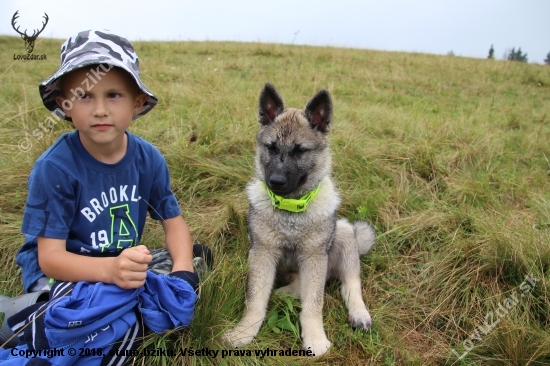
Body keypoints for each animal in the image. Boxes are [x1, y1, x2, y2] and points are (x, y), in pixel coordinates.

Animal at [222, 83, 378, 358]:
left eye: (300, 151)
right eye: (271, 147)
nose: (275, 181)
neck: (290, 209)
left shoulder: (314, 256)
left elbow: (315, 302)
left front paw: (315, 338)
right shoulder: (263, 253)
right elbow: (255, 299)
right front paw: (244, 332)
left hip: (344, 234)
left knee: (349, 283)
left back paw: (359, 314)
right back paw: (284, 292)